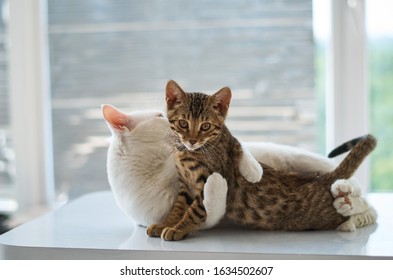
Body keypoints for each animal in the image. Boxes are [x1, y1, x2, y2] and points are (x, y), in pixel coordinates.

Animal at [102, 104, 376, 231]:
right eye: (160, 116)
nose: (168, 114)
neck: (154, 171)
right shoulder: (202, 216)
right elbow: (207, 206)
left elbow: (238, 148)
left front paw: (250, 169)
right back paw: (346, 204)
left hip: (306, 160)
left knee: (363, 195)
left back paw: (347, 197)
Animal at [145, 80, 376, 241]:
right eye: (183, 123)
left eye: (205, 126)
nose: (192, 140)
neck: (189, 153)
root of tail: (323, 178)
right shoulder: (185, 186)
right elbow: (178, 206)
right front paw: (166, 223)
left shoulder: (212, 181)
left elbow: (195, 211)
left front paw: (178, 229)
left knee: (363, 209)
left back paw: (350, 209)